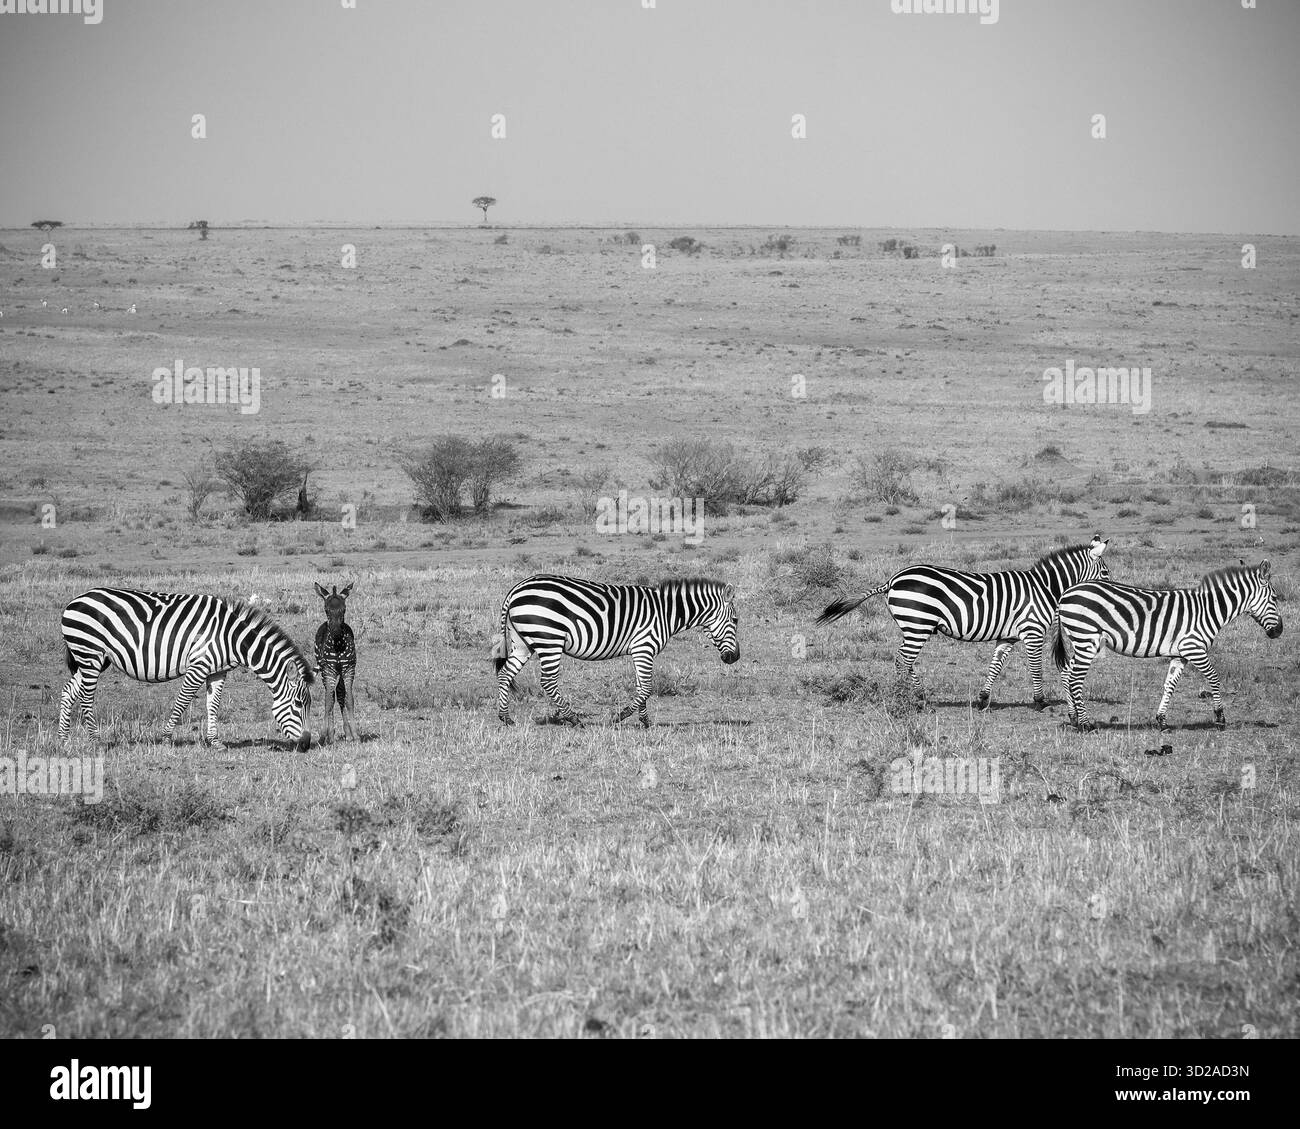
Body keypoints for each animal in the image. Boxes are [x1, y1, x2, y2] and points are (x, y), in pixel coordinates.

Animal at [59, 588, 314, 751]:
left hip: (93, 659)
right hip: (90, 653)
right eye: (298, 704)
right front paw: (165, 739)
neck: (232, 638)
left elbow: (213, 705)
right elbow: (182, 702)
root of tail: (75, 600)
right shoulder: (198, 666)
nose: (306, 745)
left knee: (68, 691)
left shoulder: (218, 671)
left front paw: (215, 742)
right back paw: (96, 741)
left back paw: (64, 741)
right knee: (86, 696)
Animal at [314, 582, 357, 744]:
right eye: (326, 609)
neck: (338, 646)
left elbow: (349, 699)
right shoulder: (329, 670)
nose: (336, 632)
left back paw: (348, 734)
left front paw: (355, 735)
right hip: (324, 671)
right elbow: (328, 701)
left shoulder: (348, 669)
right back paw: (330, 736)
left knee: (339, 693)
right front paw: (324, 735)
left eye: (344, 609)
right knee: (331, 695)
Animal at [491, 574, 740, 727]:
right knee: (548, 682)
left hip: (522, 642)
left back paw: (505, 717)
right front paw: (619, 717)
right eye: (736, 620)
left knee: (505, 674)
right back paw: (574, 719)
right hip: (549, 639)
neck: (667, 612)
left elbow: (641, 687)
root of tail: (516, 589)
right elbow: (647, 688)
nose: (734, 658)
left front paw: (645, 721)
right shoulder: (645, 647)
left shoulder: (640, 651)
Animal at [816, 535, 1110, 709]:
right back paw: (904, 699)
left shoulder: (1008, 636)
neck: (1045, 588)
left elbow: (995, 666)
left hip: (913, 627)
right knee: (903, 660)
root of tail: (892, 580)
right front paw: (1040, 701)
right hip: (918, 626)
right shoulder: (1033, 631)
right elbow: (1036, 668)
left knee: (905, 660)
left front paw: (983, 699)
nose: (1111, 591)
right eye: (1106, 573)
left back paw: (920, 697)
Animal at [1053, 559, 1282, 731]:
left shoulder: (1180, 655)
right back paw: (1085, 724)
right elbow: (1214, 678)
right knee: (1075, 679)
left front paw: (1162, 721)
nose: (1279, 631)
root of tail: (1066, 593)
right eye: (1274, 597)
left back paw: (1073, 717)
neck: (1209, 610)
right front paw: (1219, 718)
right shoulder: (1194, 648)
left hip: (1081, 641)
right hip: (1087, 639)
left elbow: (1169, 685)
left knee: (1066, 672)